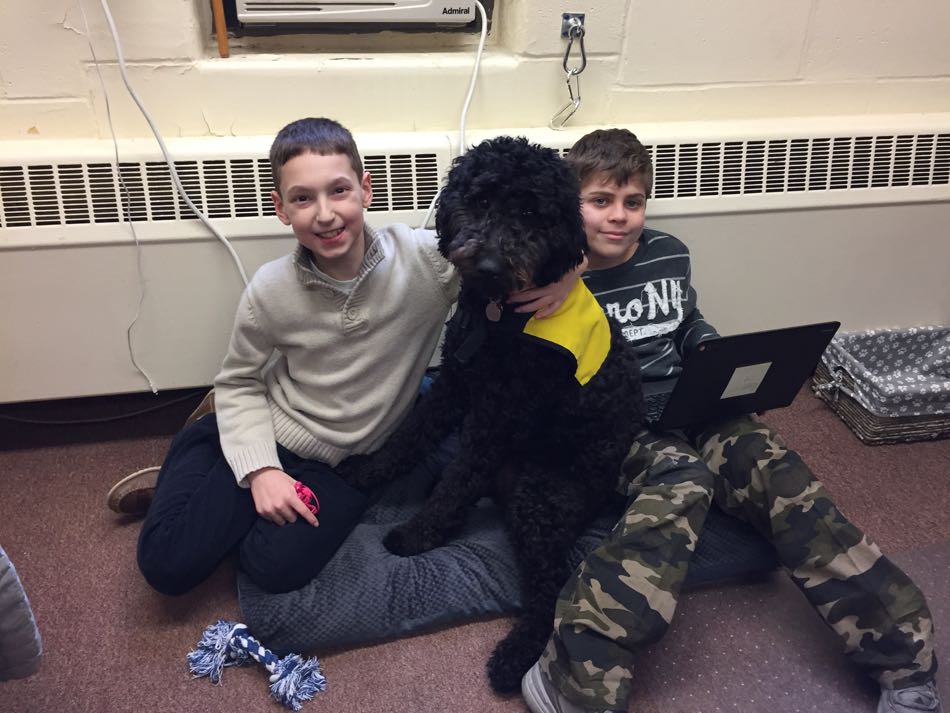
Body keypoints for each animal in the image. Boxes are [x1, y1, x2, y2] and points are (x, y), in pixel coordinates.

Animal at [342, 136, 648, 692]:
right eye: (481, 200)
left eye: (530, 213)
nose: (486, 265)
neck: (500, 315)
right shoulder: (456, 381)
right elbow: (411, 435)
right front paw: (370, 470)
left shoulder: (498, 417)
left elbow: (459, 479)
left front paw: (417, 534)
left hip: (539, 495)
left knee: (550, 586)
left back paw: (514, 657)